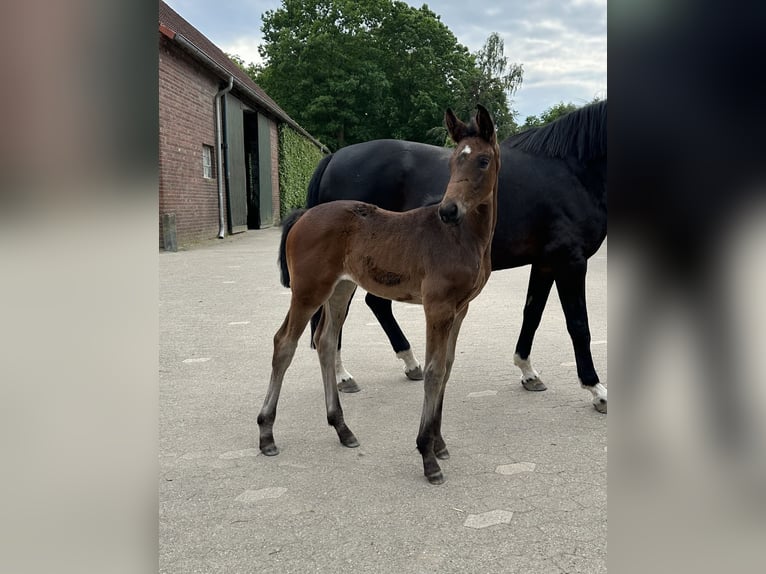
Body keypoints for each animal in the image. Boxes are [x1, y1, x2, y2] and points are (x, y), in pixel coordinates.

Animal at [258, 104, 500, 486]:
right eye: (451, 162)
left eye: (482, 161)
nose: (448, 211)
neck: (461, 236)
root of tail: (303, 215)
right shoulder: (438, 307)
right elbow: (434, 371)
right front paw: (427, 456)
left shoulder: (460, 309)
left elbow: (447, 368)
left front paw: (439, 443)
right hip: (309, 290)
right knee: (285, 343)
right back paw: (266, 433)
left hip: (341, 288)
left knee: (325, 341)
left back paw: (342, 428)